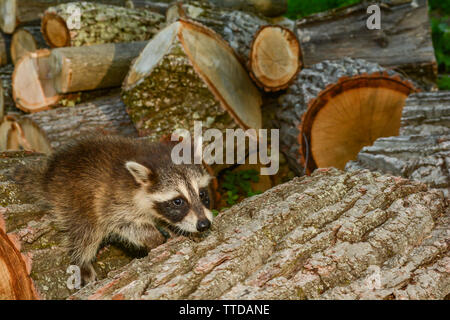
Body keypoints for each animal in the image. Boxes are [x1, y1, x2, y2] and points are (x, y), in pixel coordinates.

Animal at [12, 135, 213, 284]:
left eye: (202, 194)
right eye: (178, 201)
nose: (204, 224)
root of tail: (49, 175)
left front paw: (176, 229)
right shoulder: (113, 200)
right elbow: (124, 224)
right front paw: (154, 237)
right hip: (75, 198)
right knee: (85, 232)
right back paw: (82, 261)